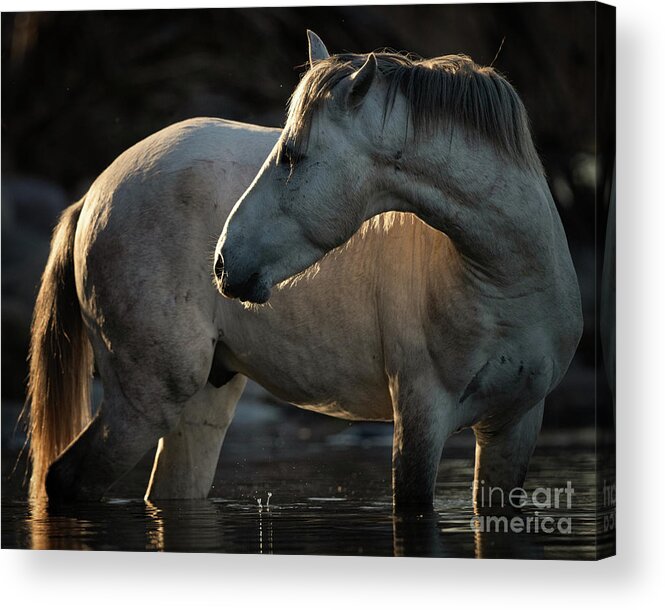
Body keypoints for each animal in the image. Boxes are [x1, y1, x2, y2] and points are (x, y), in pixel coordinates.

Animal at [28, 33, 580, 508]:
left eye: (291, 155)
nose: (222, 262)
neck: (503, 281)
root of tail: (96, 192)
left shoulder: (515, 425)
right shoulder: (421, 417)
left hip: (203, 401)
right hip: (145, 402)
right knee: (66, 478)